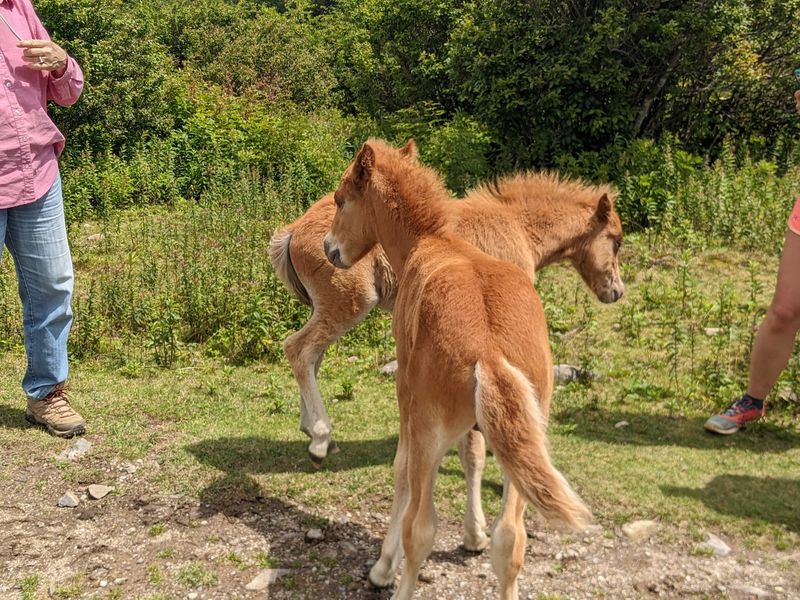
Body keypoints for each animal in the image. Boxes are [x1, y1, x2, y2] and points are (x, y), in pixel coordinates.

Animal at [323, 139, 617, 599]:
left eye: (340, 200)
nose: (329, 248)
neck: (432, 242)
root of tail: (489, 351)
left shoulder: (408, 400)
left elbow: (402, 472)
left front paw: (383, 567)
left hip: (432, 428)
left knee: (421, 529)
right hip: (526, 436)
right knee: (511, 538)